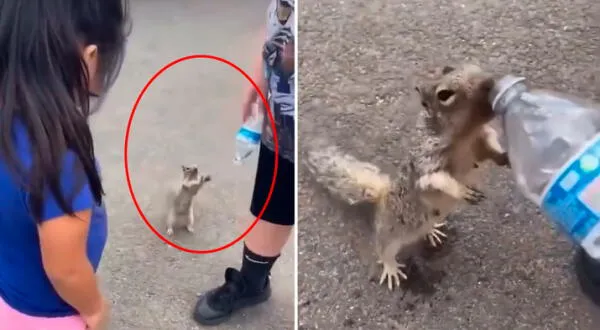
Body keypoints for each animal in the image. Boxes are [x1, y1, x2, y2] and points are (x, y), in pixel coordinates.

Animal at [304, 63, 506, 290]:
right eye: (444, 95)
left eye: (475, 67)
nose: (490, 83)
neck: (466, 136)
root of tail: (383, 197)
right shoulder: (425, 164)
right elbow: (438, 180)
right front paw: (462, 191)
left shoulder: (481, 142)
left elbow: (491, 145)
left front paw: (506, 156)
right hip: (390, 233)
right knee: (383, 250)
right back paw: (391, 267)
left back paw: (431, 231)